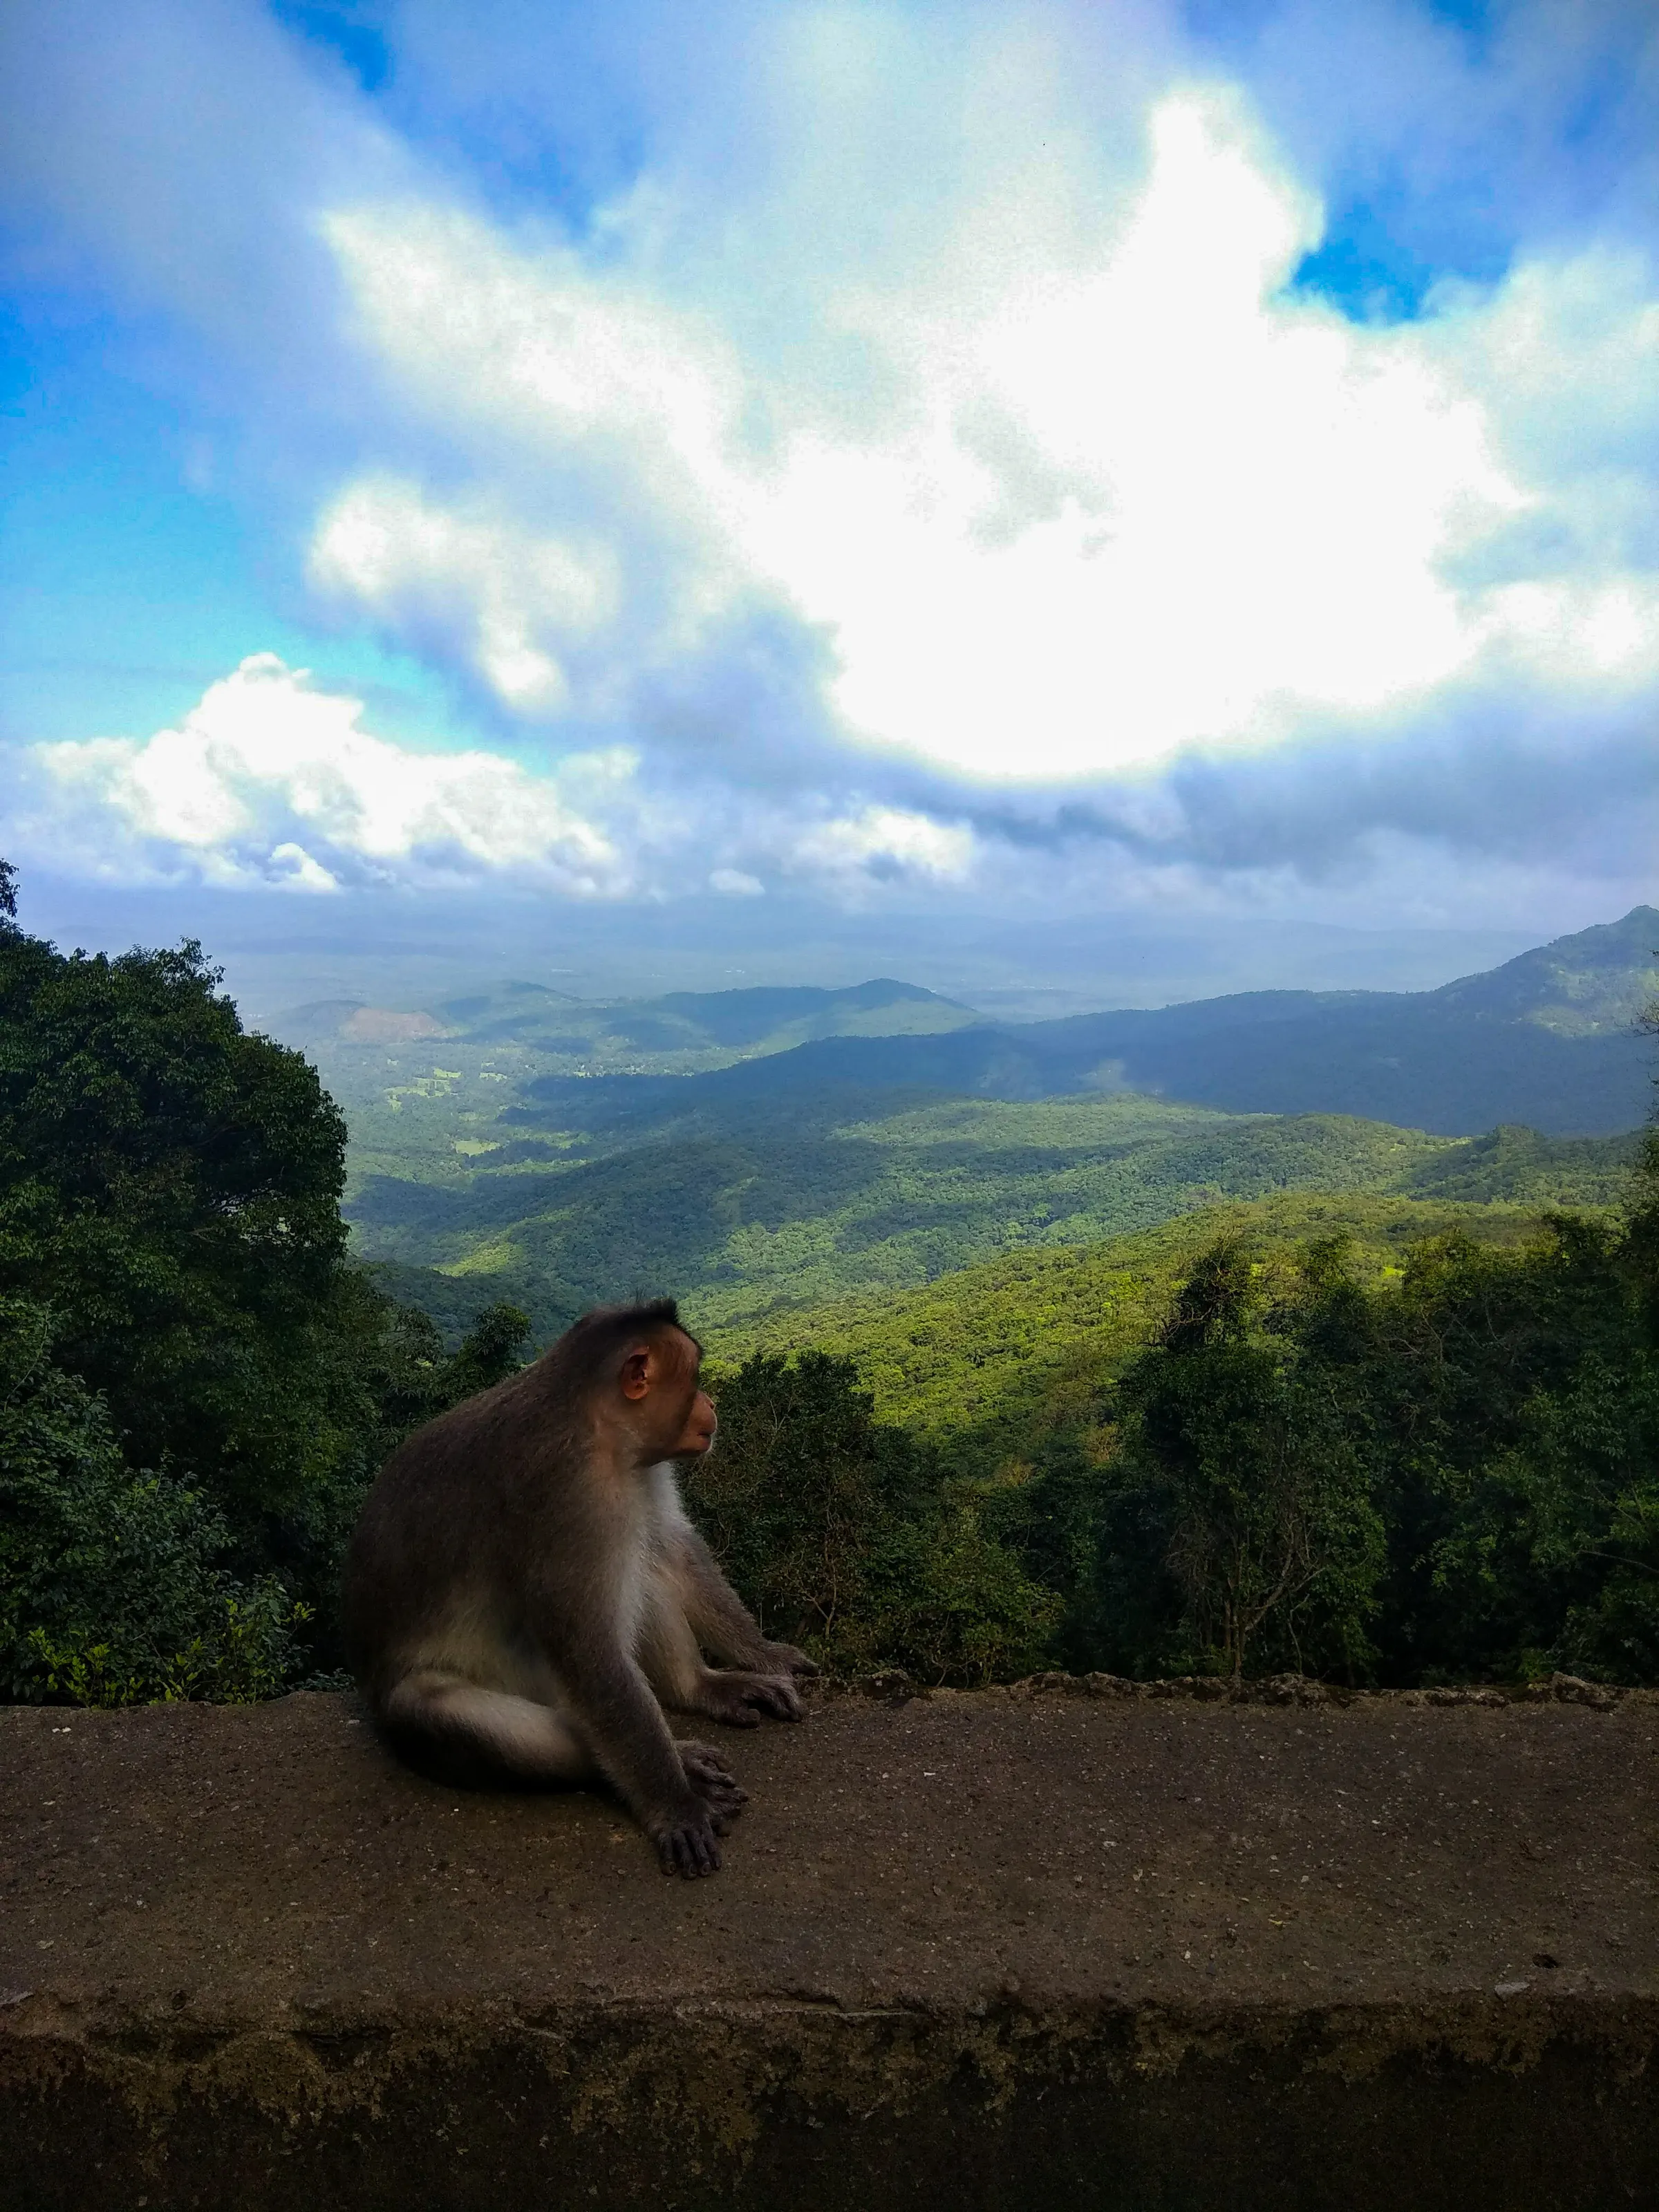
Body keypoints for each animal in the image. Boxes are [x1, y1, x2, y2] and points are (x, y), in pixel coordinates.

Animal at [342, 1299, 817, 1877]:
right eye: (695, 1378)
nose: (711, 1403)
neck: (600, 1429)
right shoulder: (569, 1499)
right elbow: (589, 1652)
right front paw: (676, 1806)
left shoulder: (638, 1468)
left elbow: (671, 1546)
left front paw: (763, 1655)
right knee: (436, 1707)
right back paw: (669, 1765)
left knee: (644, 1563)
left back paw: (698, 1688)